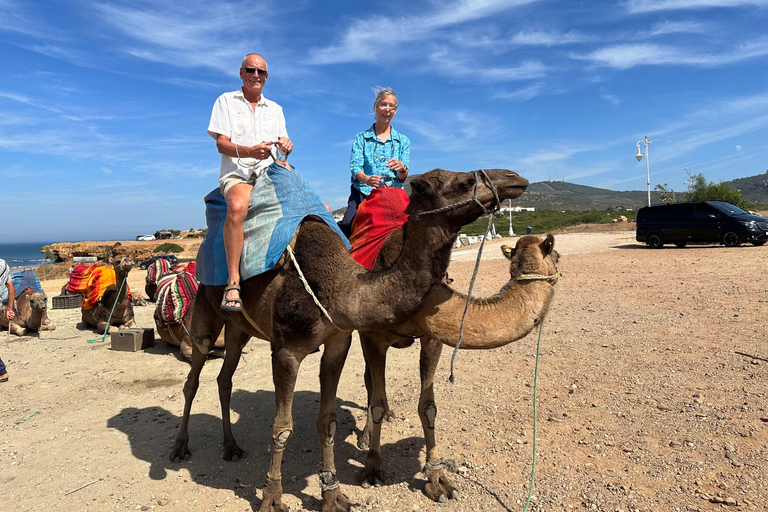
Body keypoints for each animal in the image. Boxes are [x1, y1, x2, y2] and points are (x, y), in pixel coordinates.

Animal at [168, 168, 528, 512]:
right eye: (464, 182)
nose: (515, 178)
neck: (340, 286)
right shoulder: (287, 350)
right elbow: (281, 426)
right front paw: (271, 499)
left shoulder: (340, 343)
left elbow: (329, 421)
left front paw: (334, 496)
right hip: (205, 313)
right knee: (193, 375)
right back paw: (179, 447)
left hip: (238, 329)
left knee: (224, 377)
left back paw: (231, 447)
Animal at [354, 235, 560, 500]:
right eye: (557, 256)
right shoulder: (371, 337)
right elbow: (376, 403)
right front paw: (372, 468)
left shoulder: (431, 337)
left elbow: (428, 407)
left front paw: (438, 480)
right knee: (369, 380)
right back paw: (365, 435)